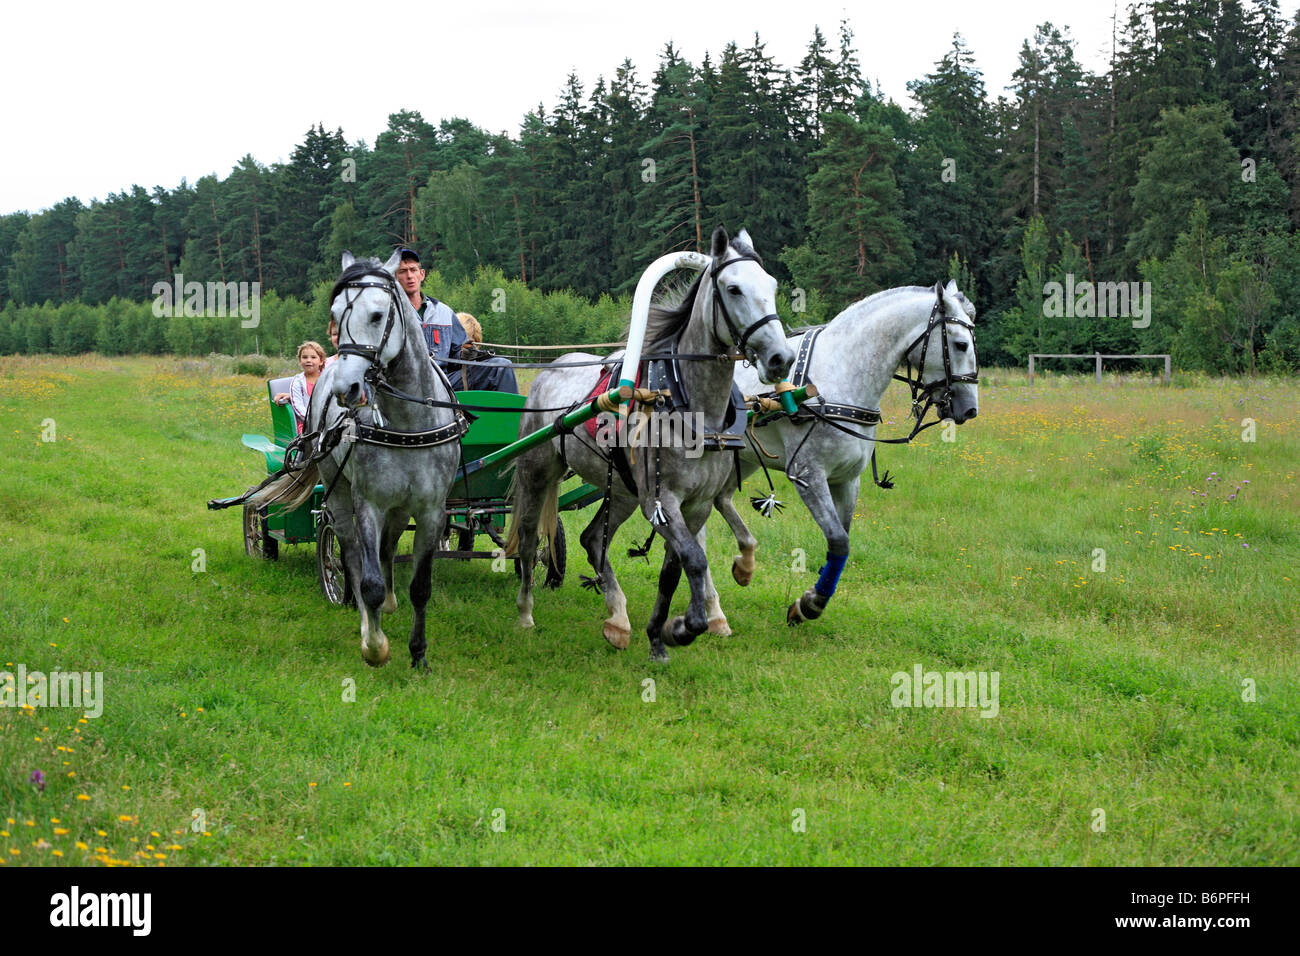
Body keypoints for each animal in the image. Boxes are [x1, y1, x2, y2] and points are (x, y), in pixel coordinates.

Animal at [245, 254, 465, 671]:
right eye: (334, 314)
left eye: (377, 315)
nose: (345, 389)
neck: (409, 422)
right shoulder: (368, 504)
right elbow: (368, 580)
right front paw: (375, 646)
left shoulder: (431, 510)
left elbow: (420, 586)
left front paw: (419, 655)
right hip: (339, 495)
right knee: (350, 555)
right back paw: (364, 616)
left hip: (399, 507)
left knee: (387, 548)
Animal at [504, 230, 790, 665]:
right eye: (733, 288)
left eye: (772, 286)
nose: (781, 358)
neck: (689, 403)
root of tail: (549, 372)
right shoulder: (663, 500)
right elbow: (694, 560)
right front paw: (684, 627)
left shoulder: (696, 504)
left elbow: (675, 569)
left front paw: (659, 635)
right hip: (537, 473)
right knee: (529, 540)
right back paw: (525, 611)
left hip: (622, 491)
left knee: (593, 539)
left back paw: (618, 618)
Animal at [728, 278, 977, 629]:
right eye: (960, 344)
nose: (970, 408)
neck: (839, 377)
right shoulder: (808, 475)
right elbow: (838, 540)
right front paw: (811, 604)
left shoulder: (846, 480)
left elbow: (842, 543)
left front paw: (810, 596)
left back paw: (740, 567)